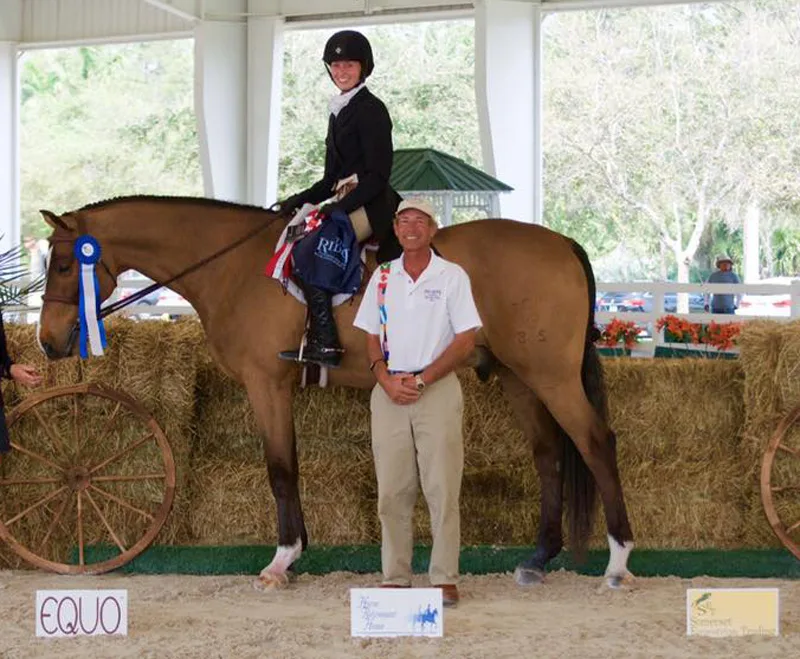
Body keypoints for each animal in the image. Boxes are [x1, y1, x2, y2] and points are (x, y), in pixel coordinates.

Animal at [37, 195, 636, 588]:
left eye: (66, 263)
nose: (48, 342)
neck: (233, 267)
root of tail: (560, 241)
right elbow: (289, 466)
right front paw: (297, 554)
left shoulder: (267, 383)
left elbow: (281, 468)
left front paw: (283, 560)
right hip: (517, 376)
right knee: (549, 453)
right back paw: (538, 559)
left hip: (551, 376)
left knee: (595, 443)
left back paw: (618, 560)